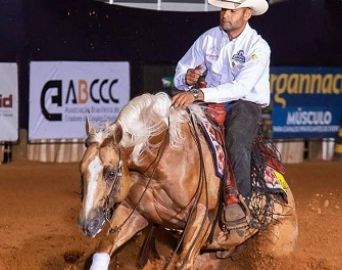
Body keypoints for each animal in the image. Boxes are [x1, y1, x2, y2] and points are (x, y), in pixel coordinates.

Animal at [79, 92, 298, 270]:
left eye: (110, 173)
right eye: (82, 171)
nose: (87, 224)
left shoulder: (202, 216)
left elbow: (184, 262)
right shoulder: (134, 211)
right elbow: (104, 249)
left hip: (275, 246)